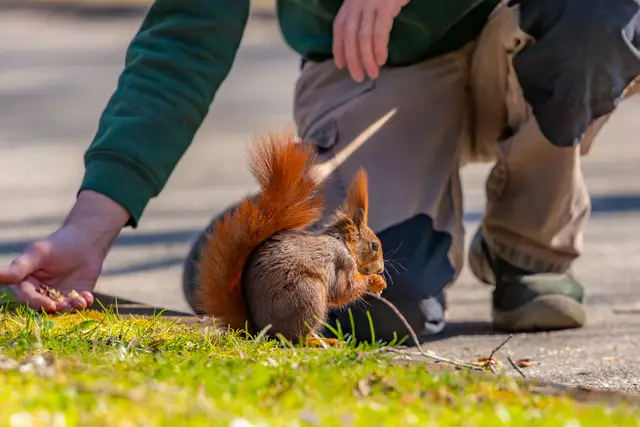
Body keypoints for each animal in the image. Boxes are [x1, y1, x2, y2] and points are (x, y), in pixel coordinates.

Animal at [194, 130, 387, 342]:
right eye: (375, 246)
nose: (380, 269)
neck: (343, 243)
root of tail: (260, 331)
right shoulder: (342, 262)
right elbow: (344, 289)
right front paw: (375, 281)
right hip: (308, 294)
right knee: (296, 339)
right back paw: (320, 341)